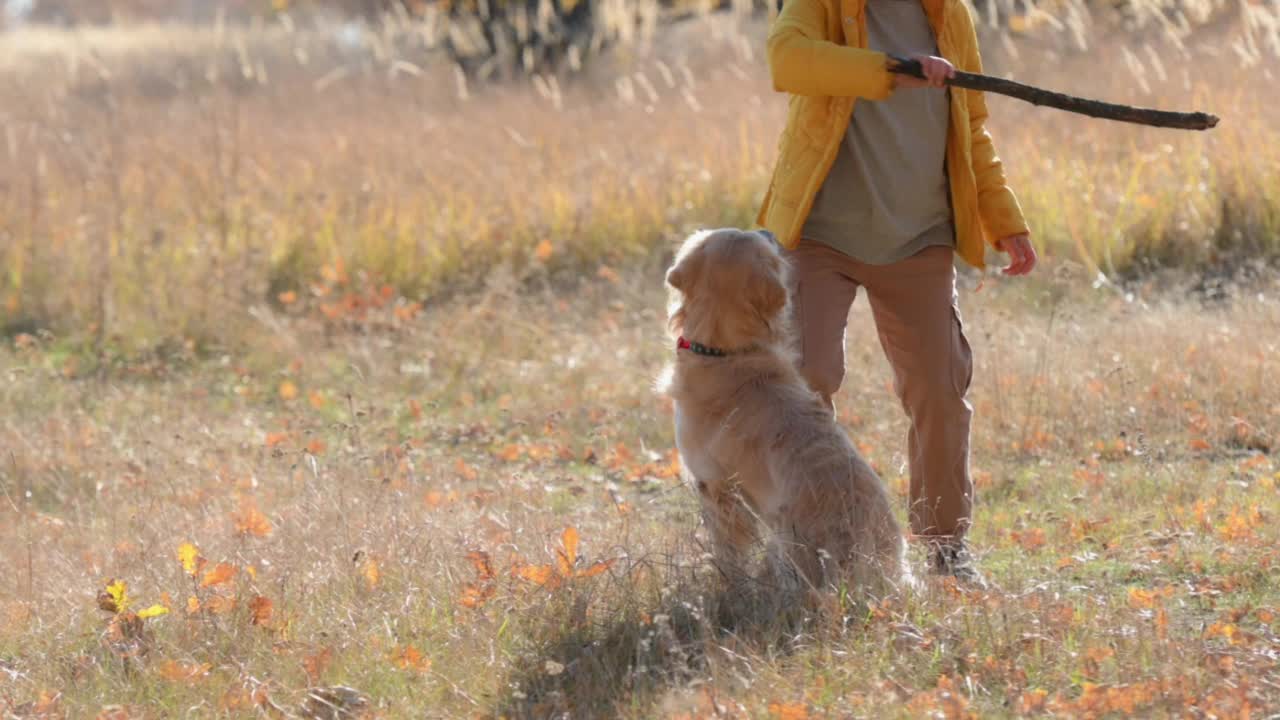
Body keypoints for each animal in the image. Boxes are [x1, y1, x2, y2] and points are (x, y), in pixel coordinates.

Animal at [660, 226, 911, 597]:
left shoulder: (715, 485)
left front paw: (726, 585)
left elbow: (727, 551)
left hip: (784, 540)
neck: (724, 351)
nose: (768, 229)